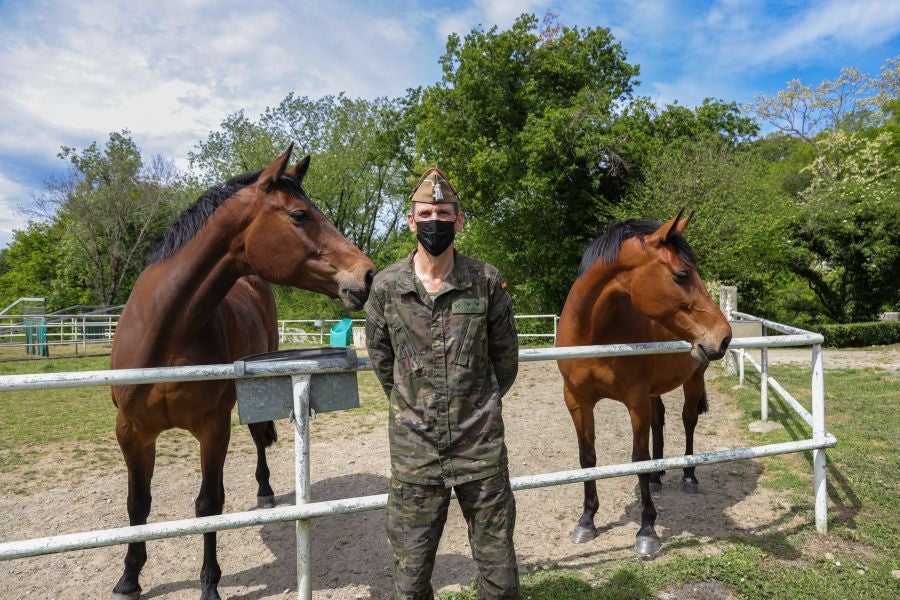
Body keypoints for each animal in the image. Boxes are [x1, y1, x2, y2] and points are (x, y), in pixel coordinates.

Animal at [110, 146, 376, 600]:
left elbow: (208, 505)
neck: (163, 333)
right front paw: (129, 577)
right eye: (300, 215)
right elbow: (137, 504)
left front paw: (209, 584)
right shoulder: (131, 431)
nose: (368, 274)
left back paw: (266, 492)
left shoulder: (212, 428)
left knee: (257, 439)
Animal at [556, 213, 732, 556]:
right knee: (659, 421)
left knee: (688, 421)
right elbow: (587, 457)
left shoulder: (634, 400)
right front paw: (587, 520)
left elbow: (638, 459)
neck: (595, 333)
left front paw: (647, 529)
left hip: (693, 379)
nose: (724, 337)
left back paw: (688, 476)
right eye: (681, 274)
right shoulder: (577, 400)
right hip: (654, 391)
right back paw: (657, 476)